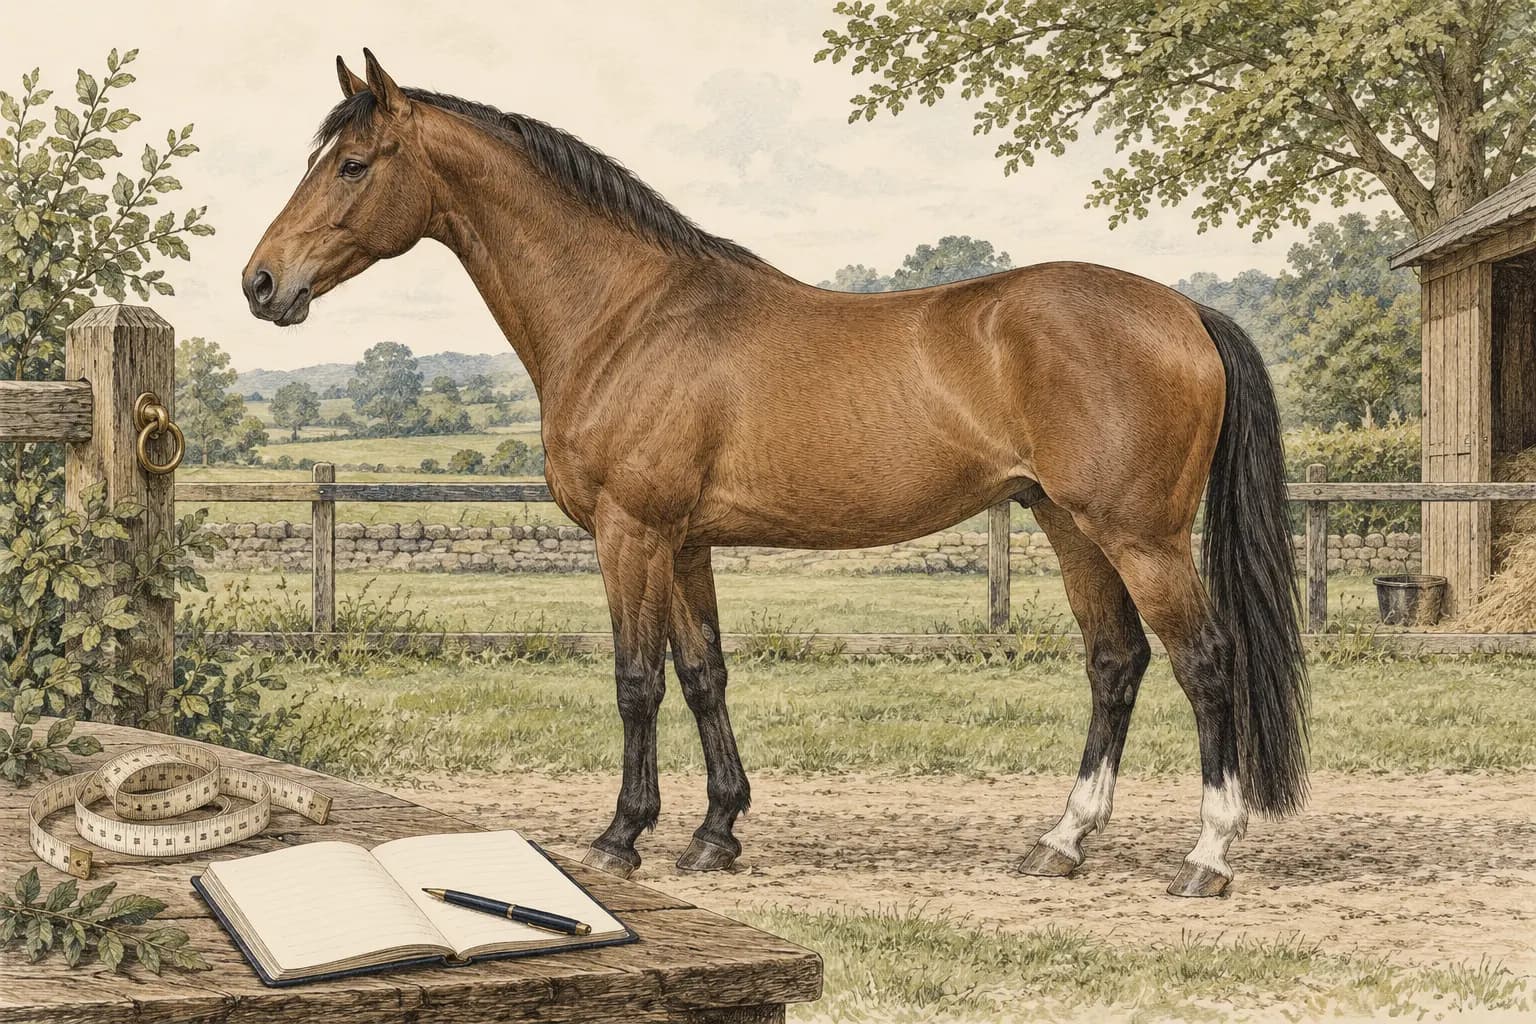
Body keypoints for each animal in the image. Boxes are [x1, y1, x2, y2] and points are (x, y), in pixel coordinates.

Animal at [243, 50, 1308, 898]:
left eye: (351, 164)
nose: (261, 282)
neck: (630, 316)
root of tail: (1184, 309)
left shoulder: (632, 532)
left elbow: (636, 681)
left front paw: (621, 837)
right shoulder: (685, 544)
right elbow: (704, 674)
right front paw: (716, 833)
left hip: (1140, 536)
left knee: (1205, 662)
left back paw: (1207, 857)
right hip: (1066, 524)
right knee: (1115, 664)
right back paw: (1062, 842)